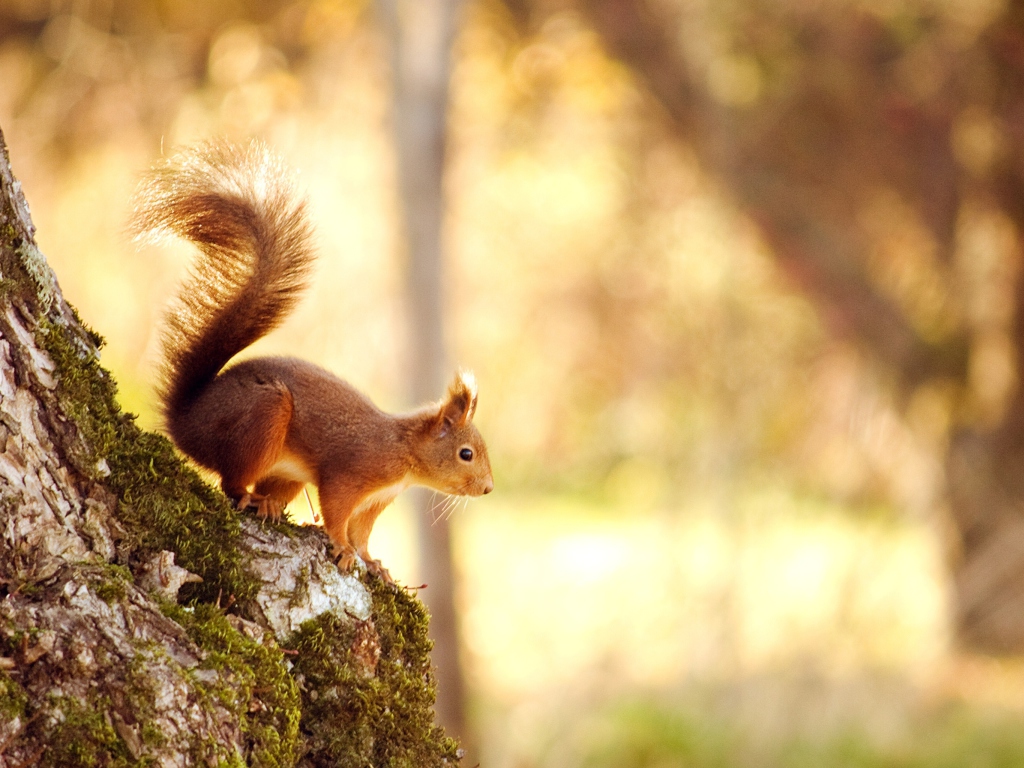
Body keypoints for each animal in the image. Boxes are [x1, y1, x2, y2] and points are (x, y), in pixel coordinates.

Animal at [131, 140, 491, 581]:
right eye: (466, 453)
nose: (488, 488)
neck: (404, 453)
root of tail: (185, 421)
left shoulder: (377, 500)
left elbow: (362, 531)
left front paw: (373, 561)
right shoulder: (352, 474)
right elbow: (337, 512)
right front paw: (343, 549)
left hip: (285, 470)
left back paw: (269, 502)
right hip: (262, 418)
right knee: (231, 483)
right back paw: (252, 498)